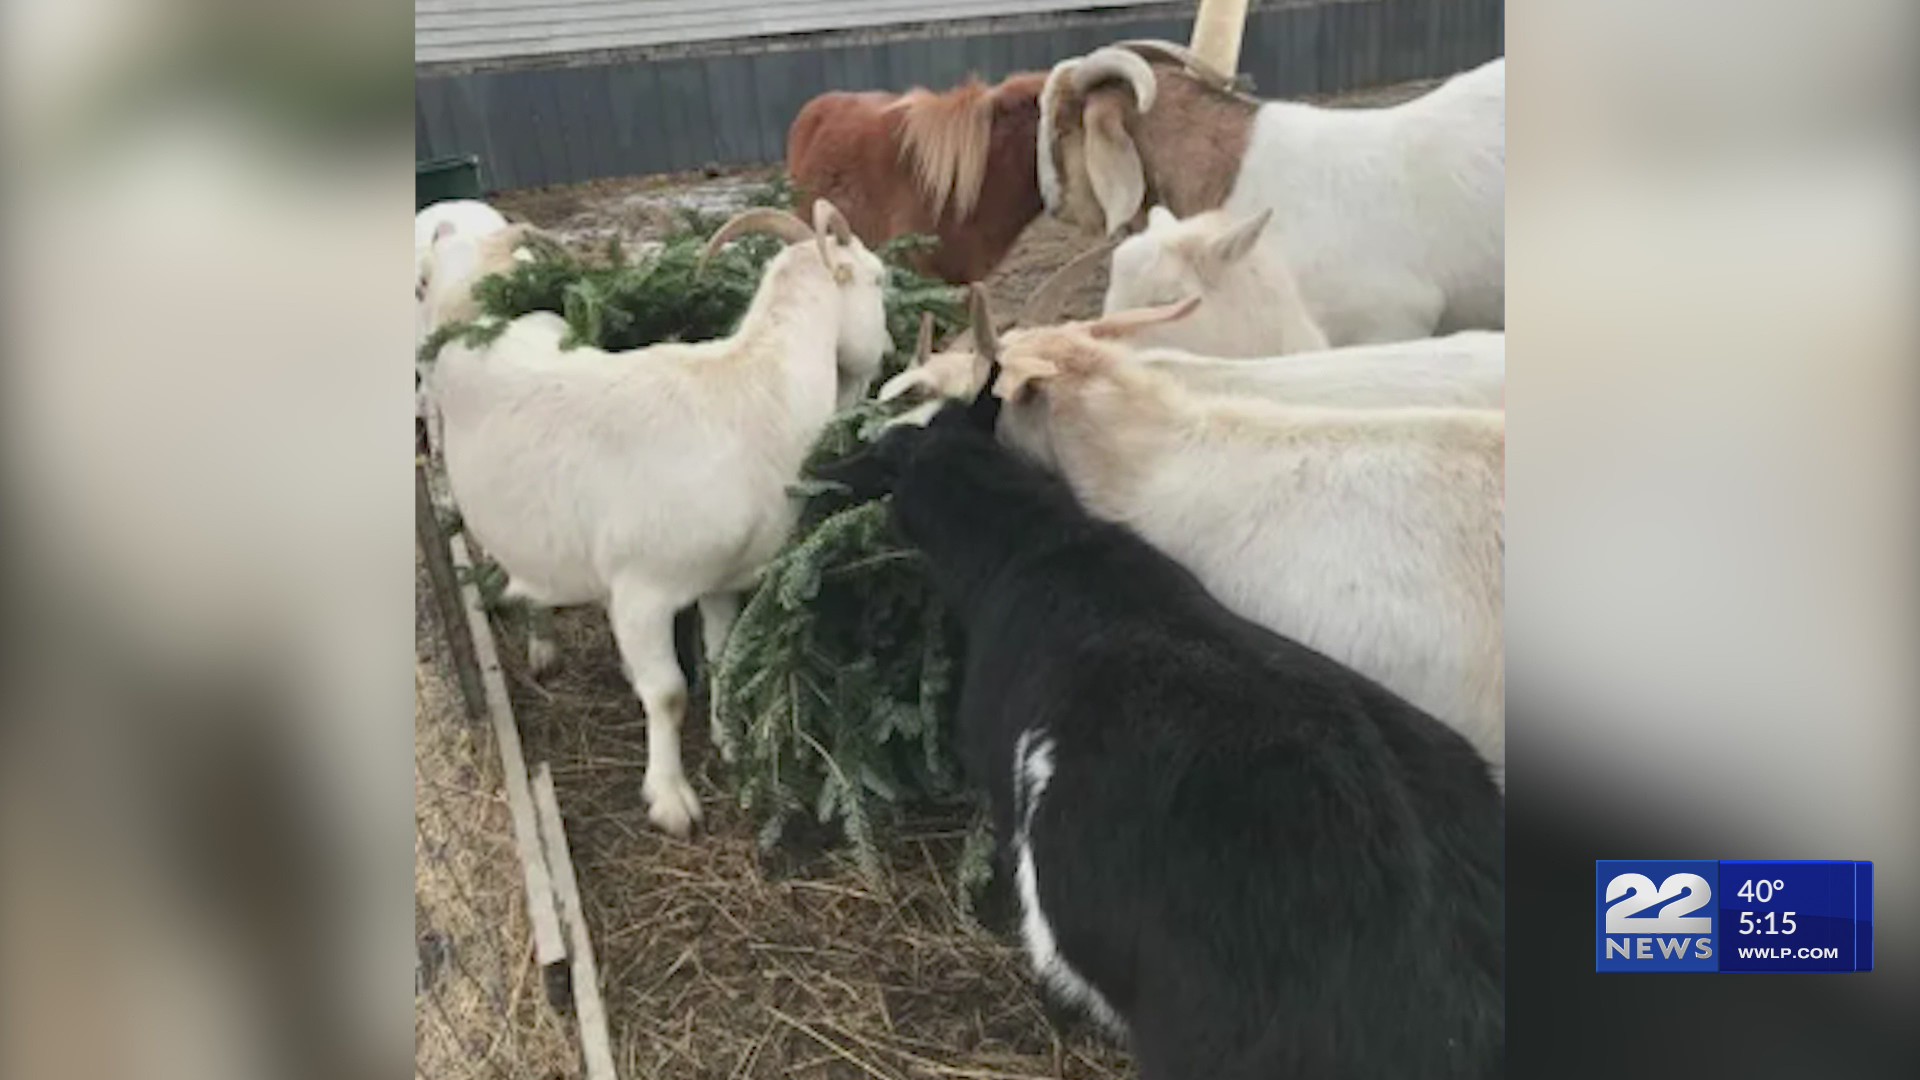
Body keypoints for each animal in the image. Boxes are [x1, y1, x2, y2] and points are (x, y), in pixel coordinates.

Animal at [428, 201, 891, 834]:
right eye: (879, 279)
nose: (888, 354)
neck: (753, 395)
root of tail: (475, 312)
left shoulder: (720, 581)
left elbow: (721, 659)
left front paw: (729, 743)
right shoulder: (645, 591)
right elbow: (669, 695)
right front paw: (671, 800)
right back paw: (543, 644)